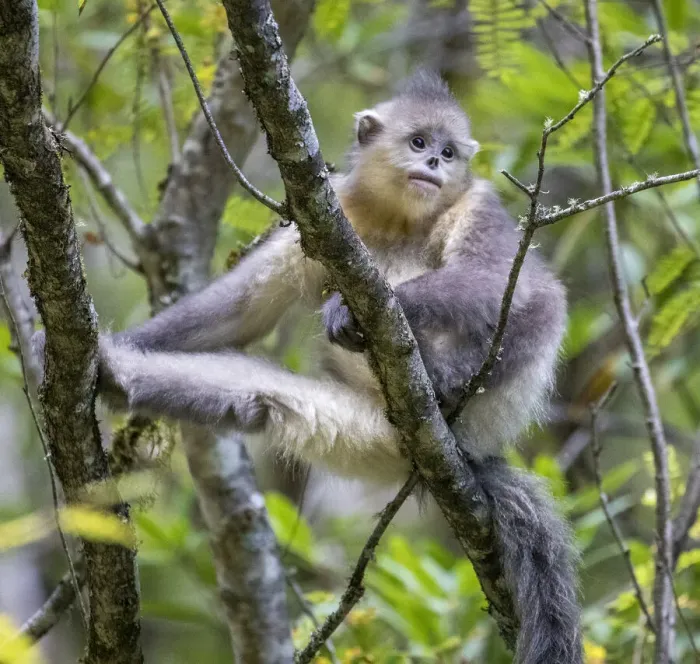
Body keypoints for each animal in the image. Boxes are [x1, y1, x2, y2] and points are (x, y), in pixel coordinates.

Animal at [33, 70, 582, 663]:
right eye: (418, 142)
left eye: (449, 151)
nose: (435, 163)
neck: (398, 219)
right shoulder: (326, 210)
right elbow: (243, 310)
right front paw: (87, 348)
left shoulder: (477, 202)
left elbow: (507, 285)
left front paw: (353, 310)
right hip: (362, 427)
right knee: (256, 396)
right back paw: (119, 374)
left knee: (539, 300)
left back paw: (443, 383)